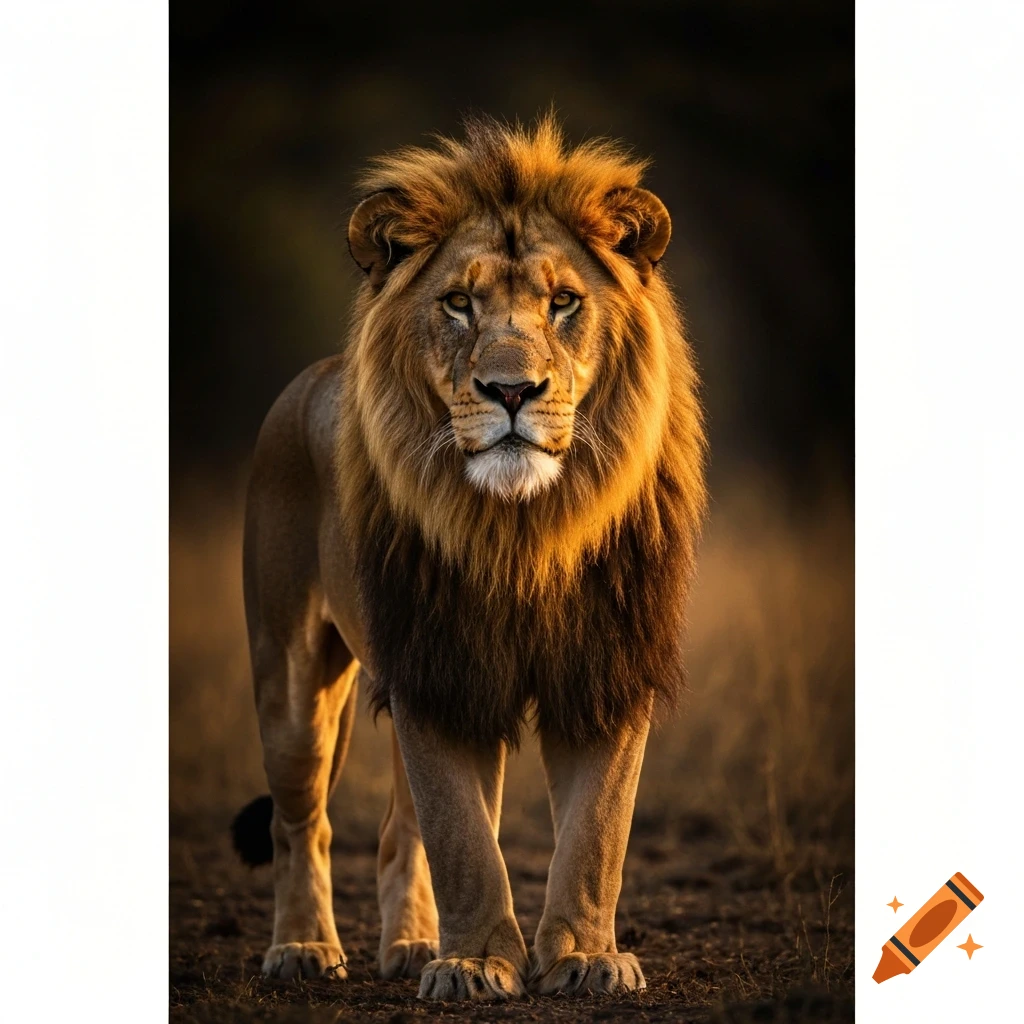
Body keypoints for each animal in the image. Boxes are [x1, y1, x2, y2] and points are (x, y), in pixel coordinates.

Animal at [232, 114, 707, 1000]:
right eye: (458, 303)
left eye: (563, 303)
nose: (511, 391)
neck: (523, 531)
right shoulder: (435, 667)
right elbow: (463, 839)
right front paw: (478, 962)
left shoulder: (604, 666)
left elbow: (596, 834)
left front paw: (584, 957)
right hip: (290, 673)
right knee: (300, 819)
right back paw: (305, 948)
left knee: (395, 829)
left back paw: (412, 944)